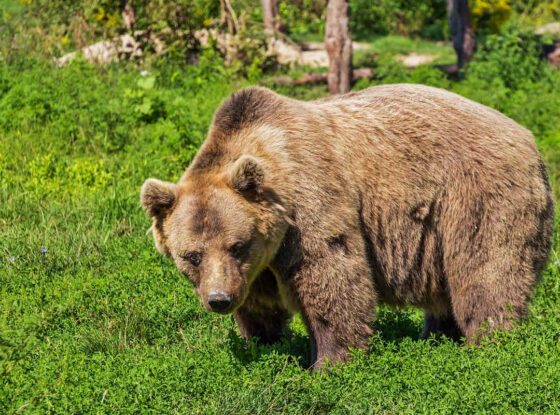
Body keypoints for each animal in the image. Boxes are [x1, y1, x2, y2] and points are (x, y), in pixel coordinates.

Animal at [141, 84, 556, 370]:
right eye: (192, 255)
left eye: (236, 244)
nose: (219, 300)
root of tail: (529, 138)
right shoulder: (257, 264)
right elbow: (259, 305)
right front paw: (263, 343)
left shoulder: (309, 205)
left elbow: (332, 277)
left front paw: (328, 363)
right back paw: (436, 337)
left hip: (476, 196)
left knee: (487, 272)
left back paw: (489, 345)